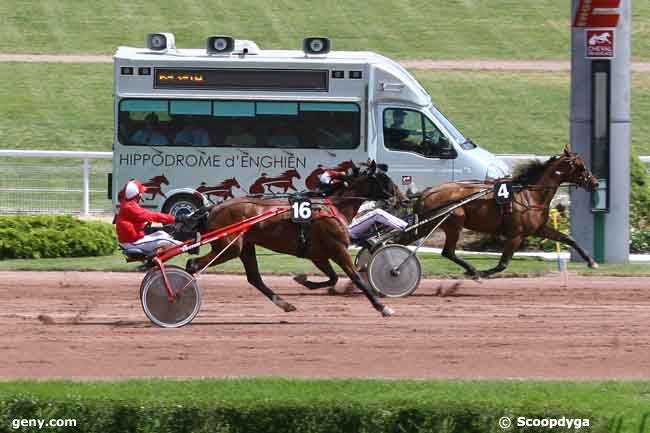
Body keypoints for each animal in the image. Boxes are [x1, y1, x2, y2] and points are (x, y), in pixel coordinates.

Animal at [185, 160, 402, 316]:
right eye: (385, 179)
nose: (403, 199)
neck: (333, 206)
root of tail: (212, 209)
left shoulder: (318, 255)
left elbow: (332, 278)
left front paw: (304, 280)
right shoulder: (338, 249)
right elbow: (356, 278)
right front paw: (383, 308)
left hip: (245, 247)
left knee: (255, 279)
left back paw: (285, 304)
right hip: (230, 247)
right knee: (193, 264)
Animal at [404, 147, 596, 278]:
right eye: (580, 166)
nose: (594, 182)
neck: (530, 194)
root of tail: (426, 192)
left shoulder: (539, 229)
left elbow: (569, 239)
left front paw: (591, 262)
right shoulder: (516, 235)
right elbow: (502, 264)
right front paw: (481, 273)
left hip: (429, 225)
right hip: (452, 224)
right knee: (447, 252)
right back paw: (472, 270)